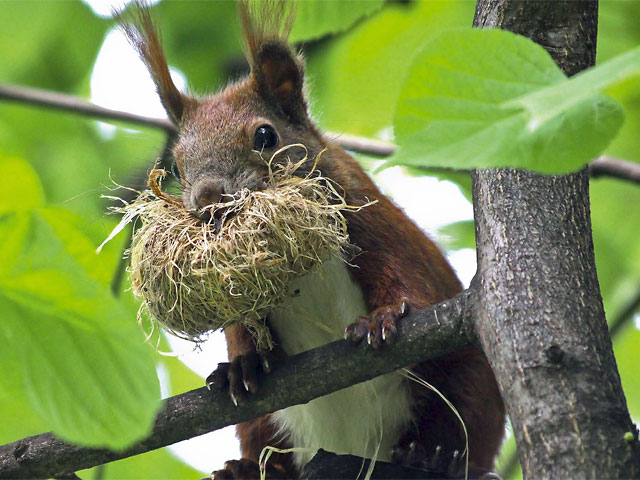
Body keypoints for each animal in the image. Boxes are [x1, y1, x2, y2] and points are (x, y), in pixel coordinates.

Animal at [120, 1, 505, 478]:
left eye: (265, 135)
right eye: (176, 163)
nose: (208, 198)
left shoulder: (374, 222)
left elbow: (407, 278)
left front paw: (381, 319)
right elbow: (239, 326)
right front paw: (243, 364)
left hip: (470, 380)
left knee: (465, 420)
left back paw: (432, 454)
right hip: (265, 425)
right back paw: (250, 468)